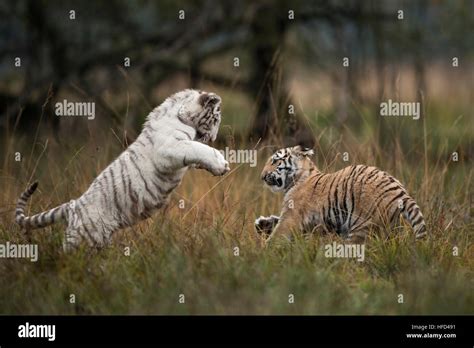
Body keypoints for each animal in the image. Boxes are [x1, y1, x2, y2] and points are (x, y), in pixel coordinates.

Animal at [15, 88, 230, 249]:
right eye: (216, 120)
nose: (214, 138)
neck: (181, 114)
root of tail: (73, 205)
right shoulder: (169, 148)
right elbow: (197, 148)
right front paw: (221, 163)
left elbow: (197, 151)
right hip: (83, 238)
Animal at [258, 145, 428, 243]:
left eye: (275, 161)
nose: (262, 176)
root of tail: (400, 191)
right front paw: (262, 223)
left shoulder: (291, 217)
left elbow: (278, 234)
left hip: (361, 228)